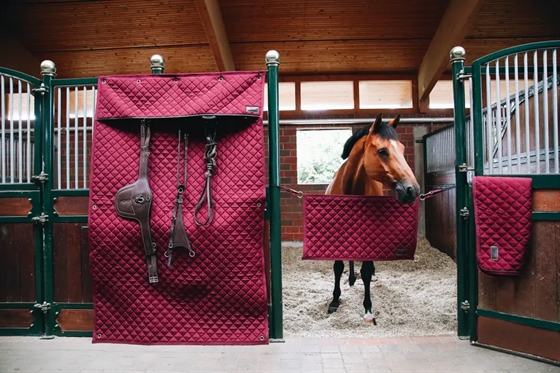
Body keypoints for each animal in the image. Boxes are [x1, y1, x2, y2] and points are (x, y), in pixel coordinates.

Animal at [324, 113, 420, 322]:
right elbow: (337, 266)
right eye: (383, 151)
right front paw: (334, 300)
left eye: (402, 149)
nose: (412, 190)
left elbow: (366, 271)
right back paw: (351, 279)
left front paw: (368, 307)